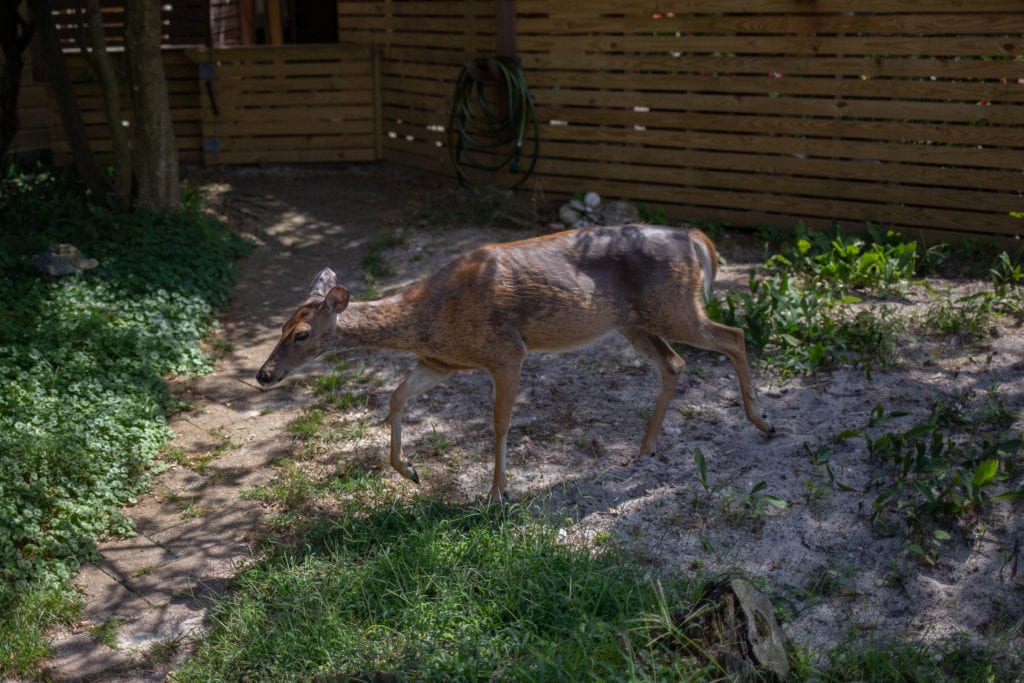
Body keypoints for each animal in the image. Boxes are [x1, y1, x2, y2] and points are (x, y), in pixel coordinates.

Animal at [256, 224, 774, 501]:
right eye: (279, 326)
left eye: (301, 334)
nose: (264, 374)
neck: (429, 316)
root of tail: (696, 239)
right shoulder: (442, 360)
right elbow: (396, 397)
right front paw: (410, 471)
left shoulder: (506, 351)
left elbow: (500, 422)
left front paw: (496, 493)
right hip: (634, 322)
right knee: (675, 364)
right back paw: (644, 449)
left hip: (675, 305)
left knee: (734, 336)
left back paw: (762, 420)